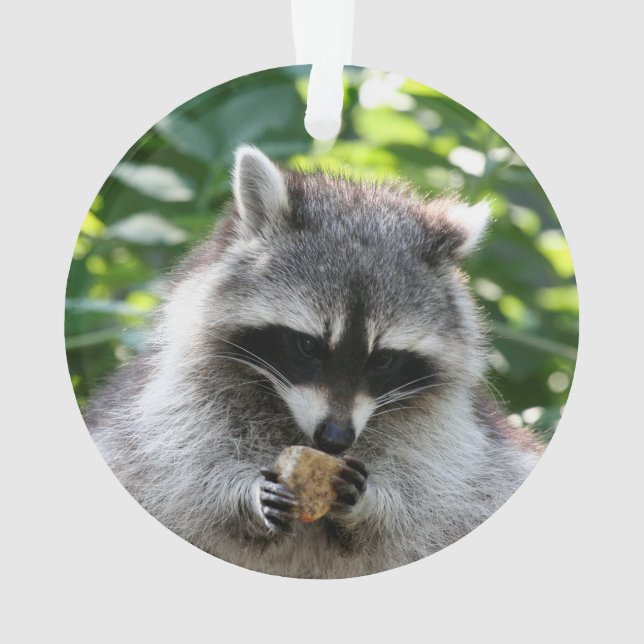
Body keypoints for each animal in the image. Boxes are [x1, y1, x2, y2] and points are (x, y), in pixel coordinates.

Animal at [86, 145, 543, 578]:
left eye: (383, 359)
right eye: (307, 345)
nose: (335, 439)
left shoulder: (448, 437)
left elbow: (432, 492)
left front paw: (373, 504)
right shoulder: (177, 403)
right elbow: (181, 467)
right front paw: (241, 496)